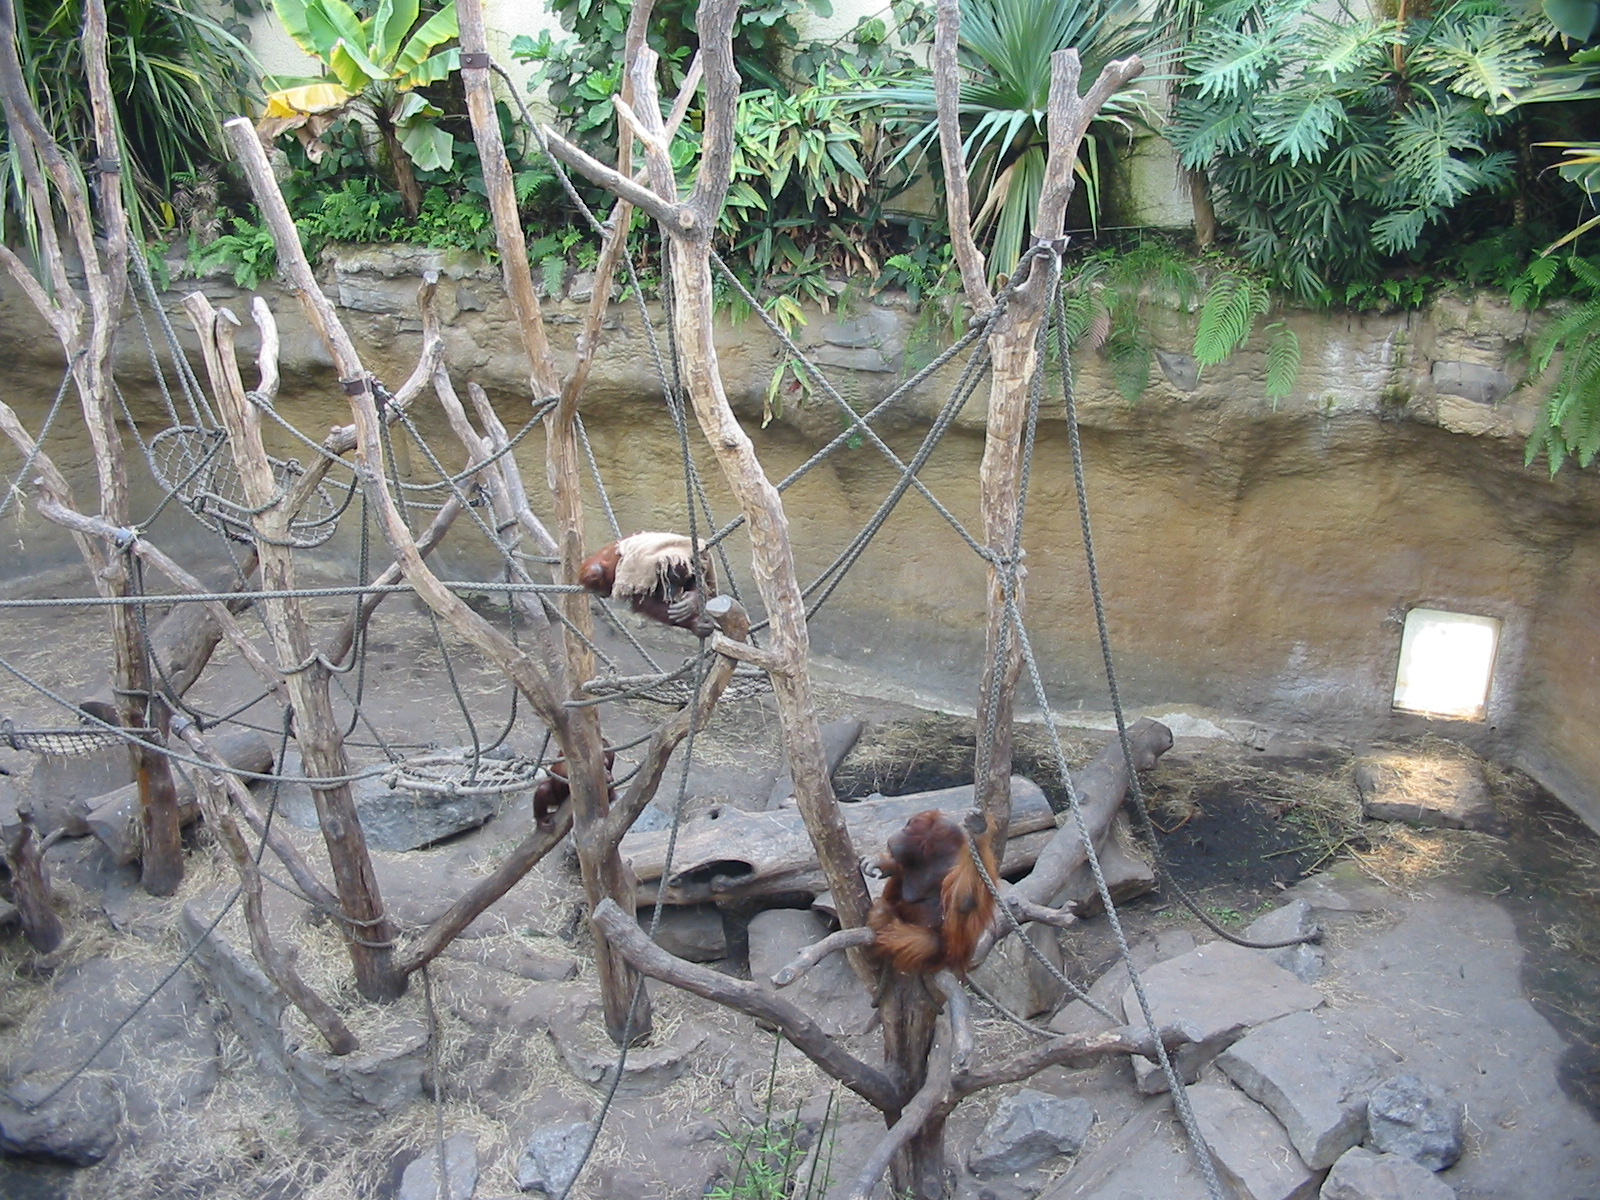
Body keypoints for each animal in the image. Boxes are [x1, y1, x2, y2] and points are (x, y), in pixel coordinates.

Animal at [578, 531, 717, 637]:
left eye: (677, 583)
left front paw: (691, 602)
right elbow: (644, 602)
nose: (672, 590)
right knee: (596, 570)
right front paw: (696, 624)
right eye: (669, 581)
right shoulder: (643, 570)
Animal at [867, 809, 998, 976]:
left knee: (932, 943)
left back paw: (883, 916)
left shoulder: (952, 866)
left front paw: (978, 832)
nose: (898, 832)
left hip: (949, 954)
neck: (933, 860)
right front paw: (882, 863)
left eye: (907, 827)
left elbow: (964, 903)